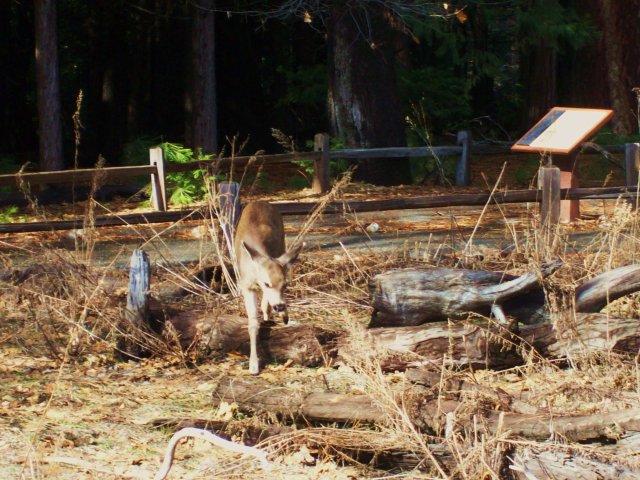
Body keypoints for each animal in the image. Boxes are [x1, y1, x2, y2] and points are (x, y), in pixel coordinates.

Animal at [234, 201, 304, 374]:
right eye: (267, 283)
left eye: (286, 284)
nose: (279, 306)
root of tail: (259, 202)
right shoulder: (246, 285)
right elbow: (253, 323)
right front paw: (253, 364)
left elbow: (265, 305)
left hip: (283, 244)